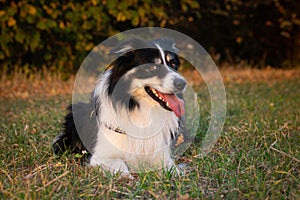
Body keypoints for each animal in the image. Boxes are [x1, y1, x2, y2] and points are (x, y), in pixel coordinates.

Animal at [52, 37, 186, 175]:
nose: (182, 83)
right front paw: (126, 176)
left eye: (173, 65)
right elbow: (120, 163)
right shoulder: (98, 155)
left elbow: (173, 168)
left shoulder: (160, 153)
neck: (140, 108)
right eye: (152, 67)